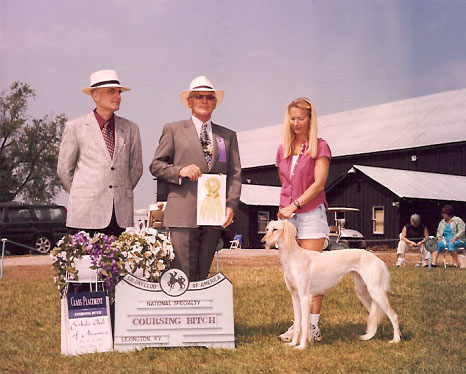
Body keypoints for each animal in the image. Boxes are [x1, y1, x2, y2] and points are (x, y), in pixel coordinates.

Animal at [262, 221, 400, 350]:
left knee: (393, 315)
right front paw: (293, 343)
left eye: (275, 229)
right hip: (362, 291)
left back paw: (396, 339)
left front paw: (302, 346)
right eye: (267, 229)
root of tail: (378, 259)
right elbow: (298, 325)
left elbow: (304, 324)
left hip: (376, 291)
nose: (263, 241)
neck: (293, 258)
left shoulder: (305, 297)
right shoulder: (295, 297)